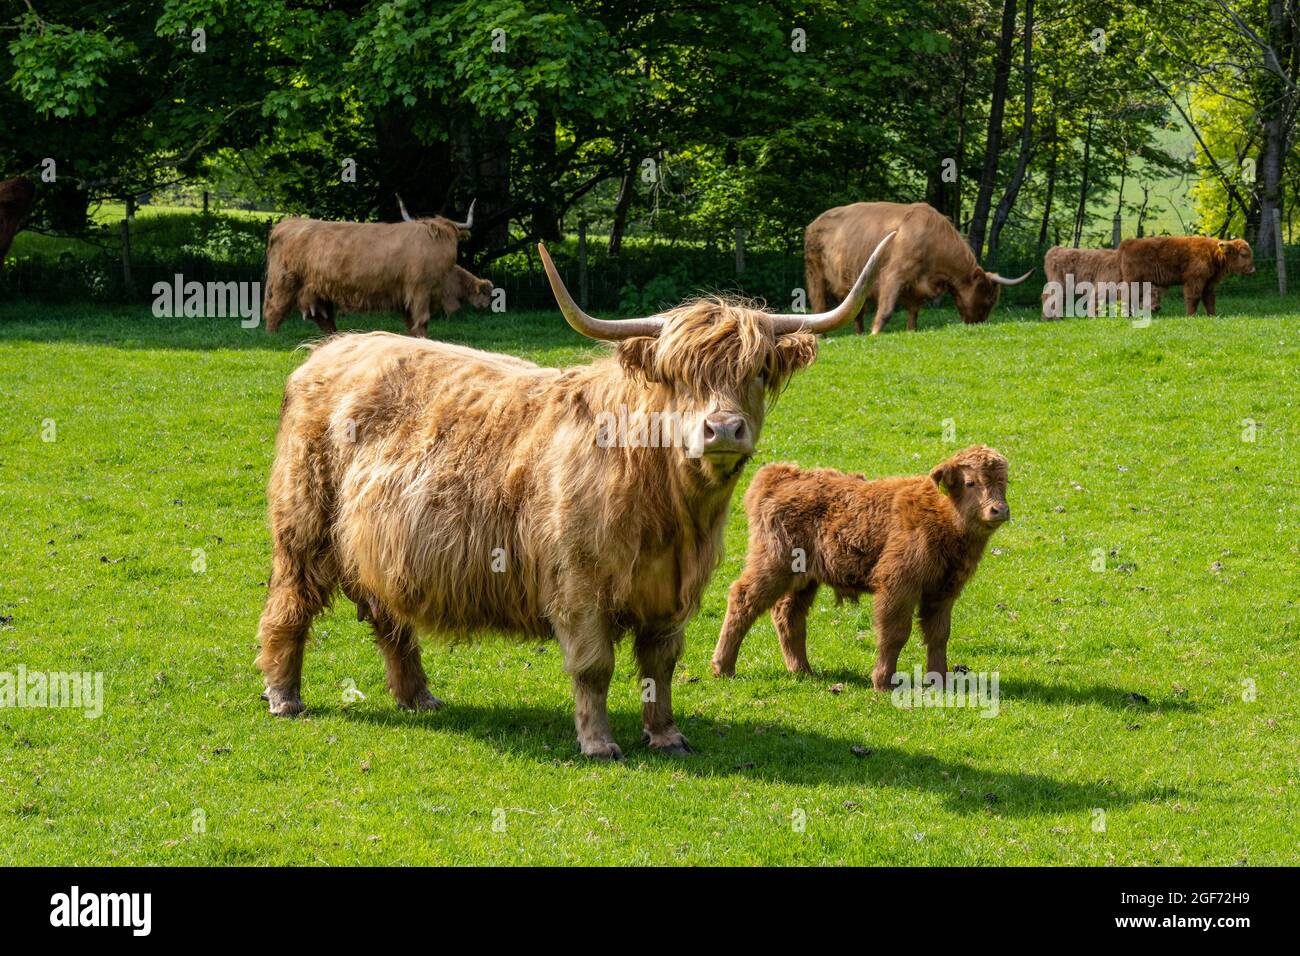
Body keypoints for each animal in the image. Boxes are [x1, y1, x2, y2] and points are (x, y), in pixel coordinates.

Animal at [254, 233, 897, 759]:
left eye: (758, 370)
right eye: (676, 374)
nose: (722, 429)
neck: (668, 509)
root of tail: (329, 351)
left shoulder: (673, 592)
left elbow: (660, 664)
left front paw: (665, 734)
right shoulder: (578, 585)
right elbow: (593, 666)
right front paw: (598, 742)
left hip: (375, 544)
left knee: (387, 615)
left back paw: (418, 697)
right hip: (303, 528)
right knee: (289, 606)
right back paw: (284, 696)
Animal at [262, 198, 475, 337]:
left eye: (453, 238)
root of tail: (287, 224)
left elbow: (411, 322)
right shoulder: (420, 290)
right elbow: (422, 320)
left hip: (316, 289)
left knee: (324, 317)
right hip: (284, 282)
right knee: (274, 309)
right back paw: (272, 337)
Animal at [805, 201, 1032, 334]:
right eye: (987, 301)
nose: (977, 324)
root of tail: (814, 223)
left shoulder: (916, 288)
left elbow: (913, 313)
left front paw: (910, 331)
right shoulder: (893, 275)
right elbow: (886, 310)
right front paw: (874, 333)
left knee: (855, 311)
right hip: (815, 274)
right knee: (819, 307)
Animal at [1118, 236, 1254, 316]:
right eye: (1243, 254)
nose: (1253, 269)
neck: (1213, 253)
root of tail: (1129, 242)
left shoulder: (1209, 284)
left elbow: (1209, 300)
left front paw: (1212, 316)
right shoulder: (1194, 281)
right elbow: (1193, 298)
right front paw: (1190, 315)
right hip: (1134, 281)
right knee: (1127, 295)